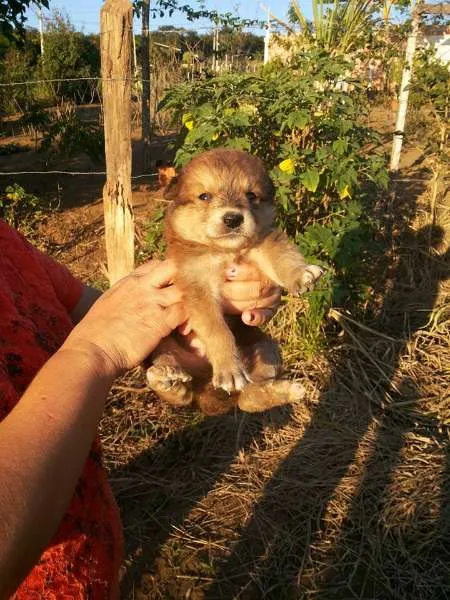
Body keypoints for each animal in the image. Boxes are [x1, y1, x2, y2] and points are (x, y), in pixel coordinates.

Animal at [147, 148, 324, 414]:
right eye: (205, 196)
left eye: (251, 195)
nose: (233, 219)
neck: (224, 251)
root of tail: (205, 387)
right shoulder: (197, 286)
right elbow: (217, 329)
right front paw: (230, 370)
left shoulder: (263, 241)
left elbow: (282, 256)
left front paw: (301, 273)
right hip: (161, 337)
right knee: (179, 389)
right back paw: (166, 377)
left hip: (267, 347)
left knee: (247, 397)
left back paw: (287, 390)